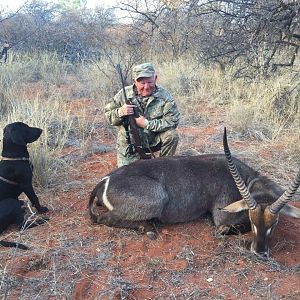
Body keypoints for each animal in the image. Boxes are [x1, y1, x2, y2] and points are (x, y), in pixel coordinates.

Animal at [0, 120, 48, 250]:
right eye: (26, 128)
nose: (41, 130)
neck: (14, 158)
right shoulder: (26, 184)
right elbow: (35, 198)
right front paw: (42, 210)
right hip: (11, 202)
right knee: (21, 226)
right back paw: (41, 221)